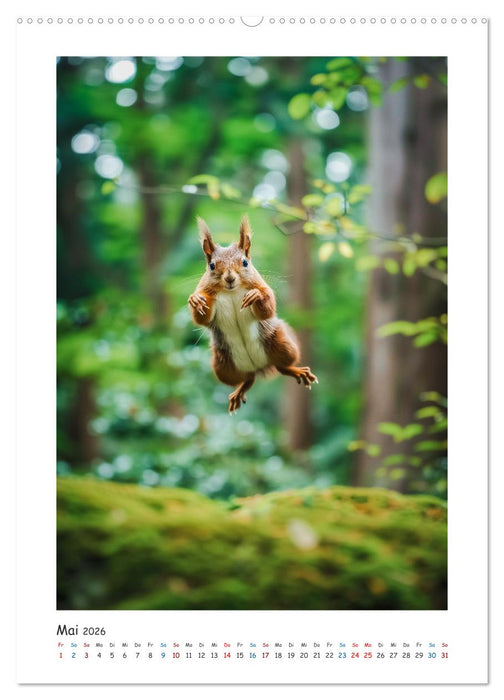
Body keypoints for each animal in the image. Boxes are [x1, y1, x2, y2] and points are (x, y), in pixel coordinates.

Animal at [188, 214, 318, 413]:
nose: (230, 278)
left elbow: (268, 308)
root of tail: (259, 366)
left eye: (245, 262)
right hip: (222, 366)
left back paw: (295, 370)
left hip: (282, 344)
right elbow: (201, 318)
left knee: (281, 366)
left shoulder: (261, 285)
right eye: (211, 266)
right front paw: (195, 300)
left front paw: (256, 296)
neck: (231, 291)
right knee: (248, 378)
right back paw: (242, 387)